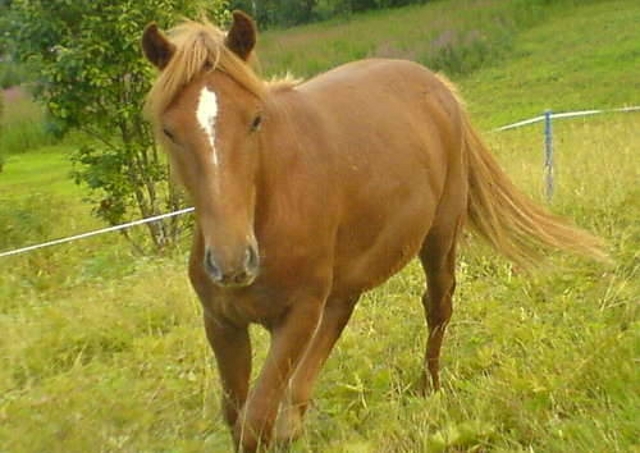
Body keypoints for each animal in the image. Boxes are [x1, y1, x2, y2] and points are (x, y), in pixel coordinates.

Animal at [141, 11, 606, 452]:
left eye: (255, 120)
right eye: (169, 131)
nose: (233, 263)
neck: (270, 209)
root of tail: (438, 86)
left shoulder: (297, 316)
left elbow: (254, 423)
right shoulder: (222, 323)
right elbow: (237, 418)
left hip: (439, 237)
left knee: (438, 305)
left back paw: (428, 386)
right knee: (336, 326)